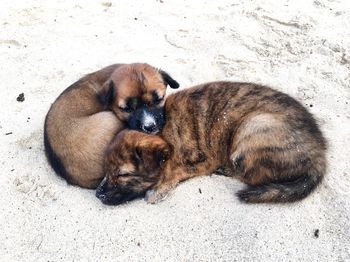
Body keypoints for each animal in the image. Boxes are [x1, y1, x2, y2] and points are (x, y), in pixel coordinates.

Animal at [96, 81, 328, 204]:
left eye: (123, 175)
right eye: (106, 170)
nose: (97, 194)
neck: (163, 132)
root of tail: (319, 156)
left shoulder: (205, 160)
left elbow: (176, 171)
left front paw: (160, 188)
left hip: (252, 126)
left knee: (253, 175)